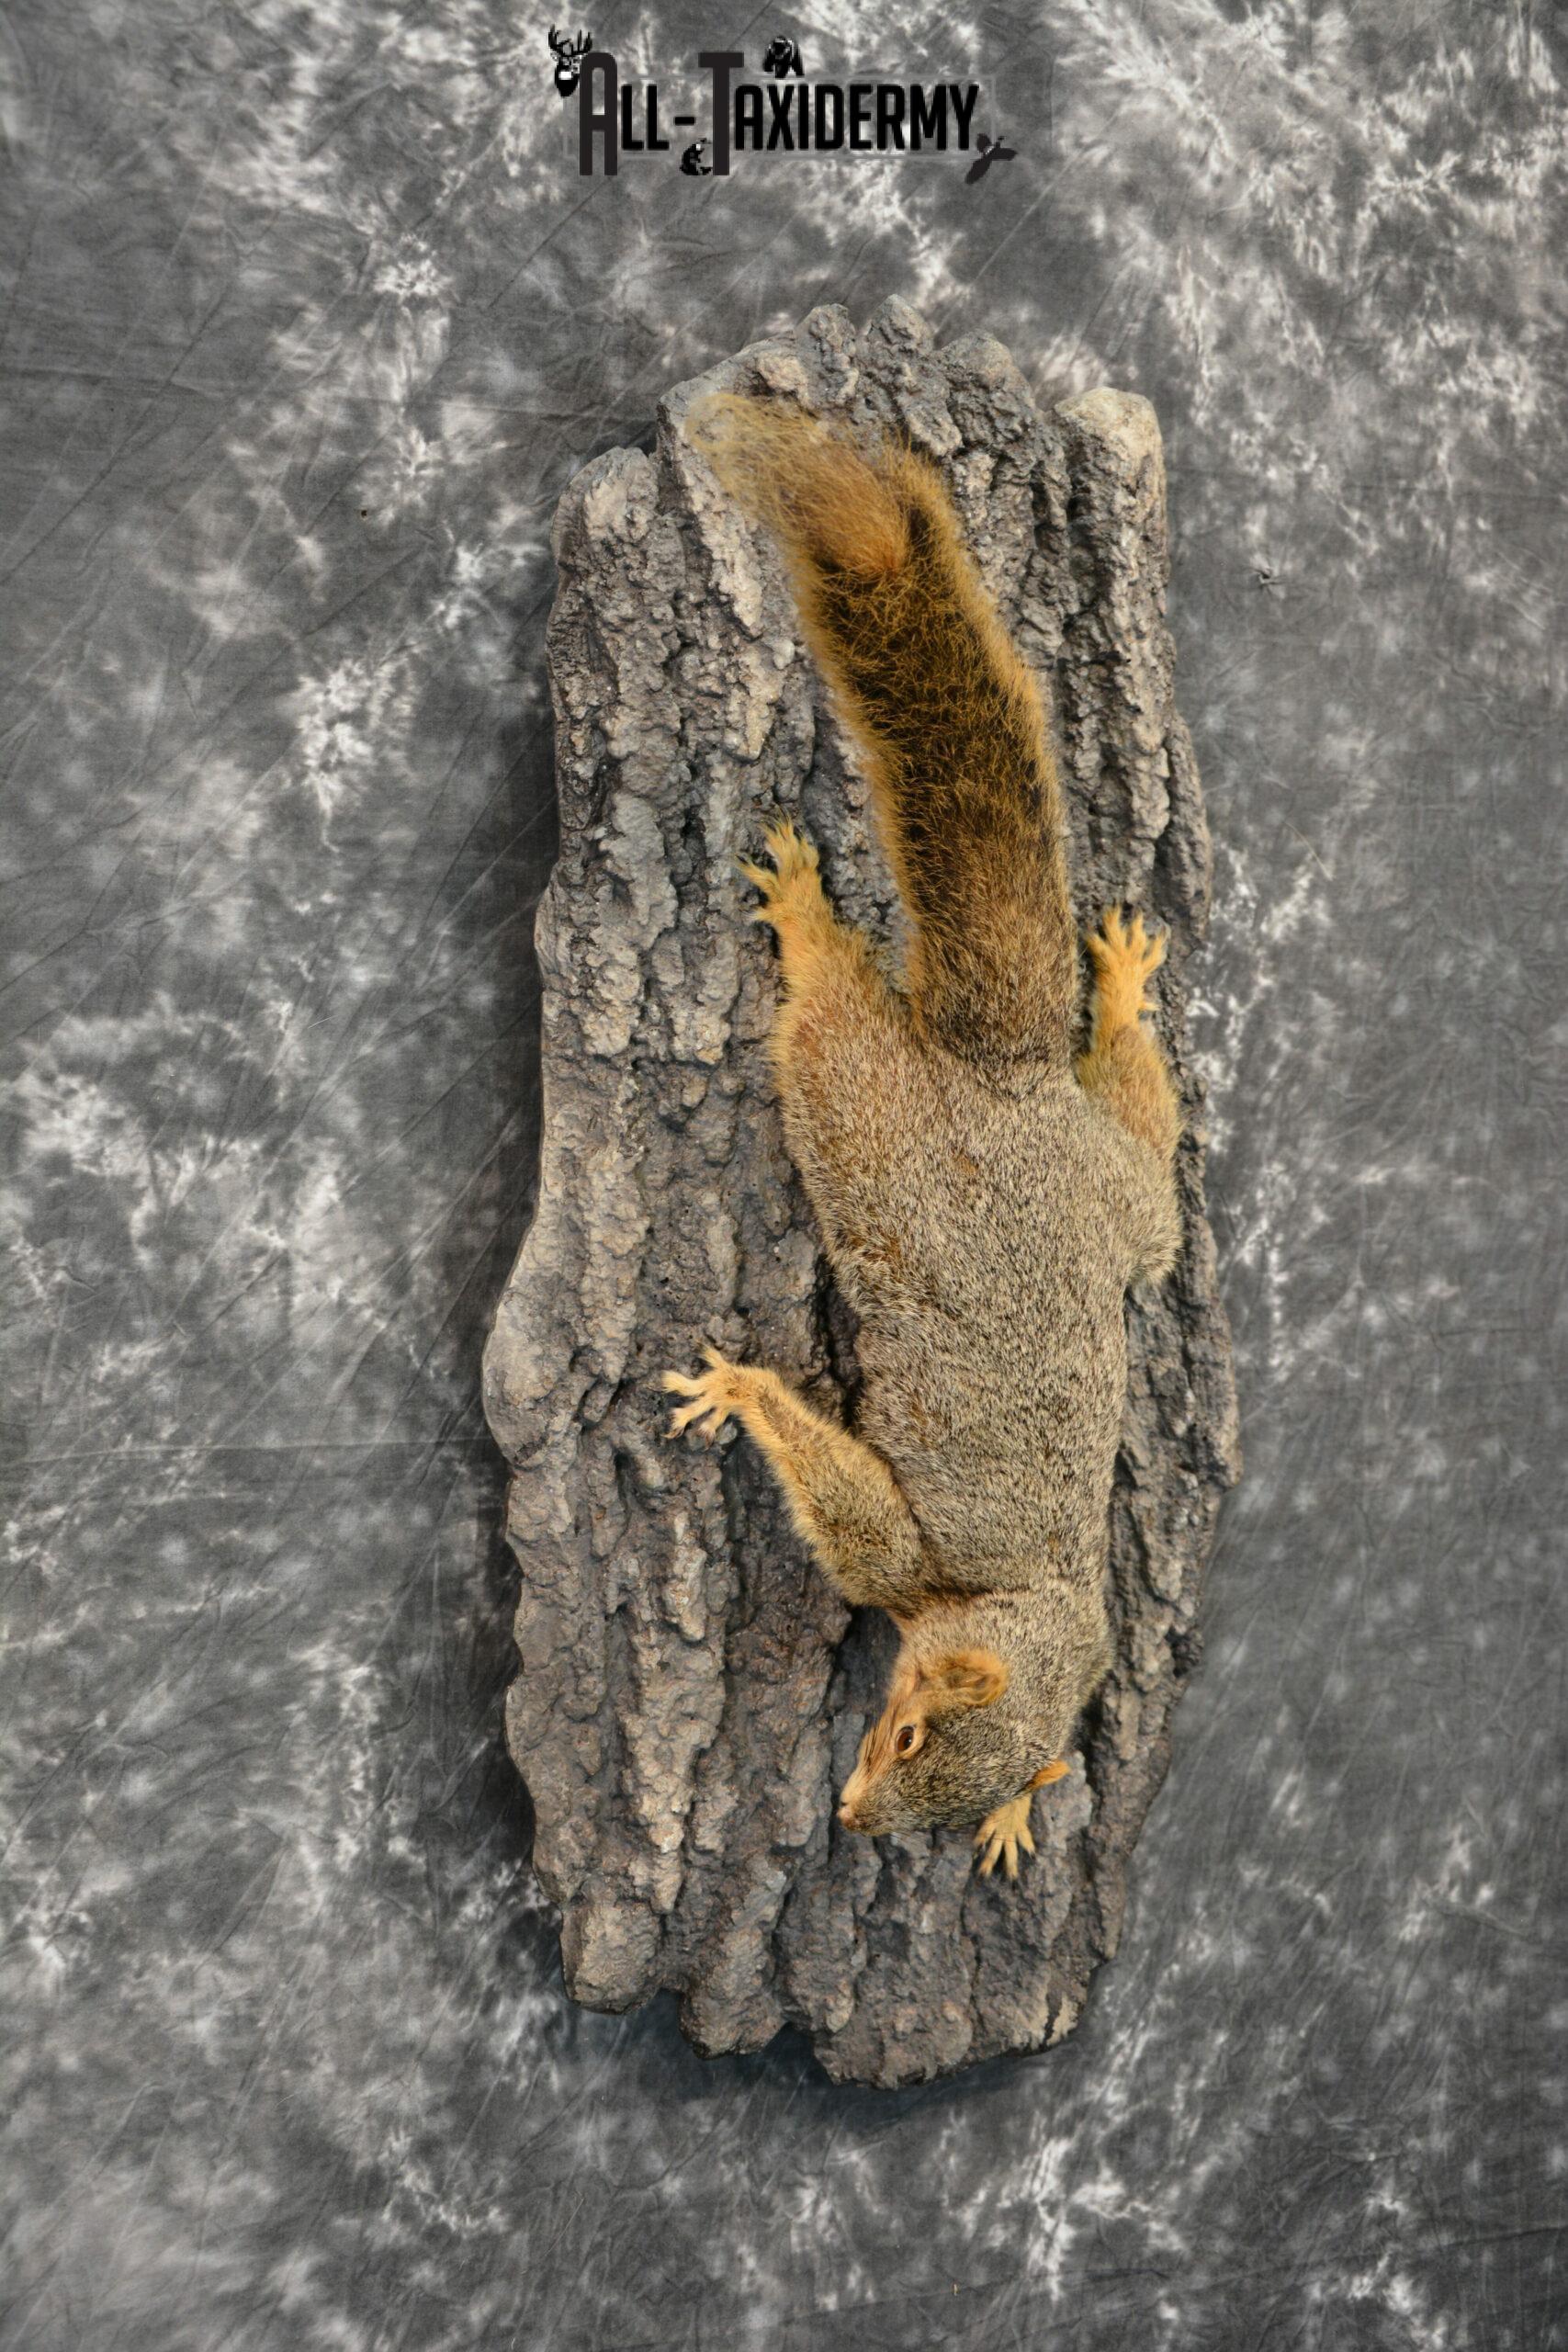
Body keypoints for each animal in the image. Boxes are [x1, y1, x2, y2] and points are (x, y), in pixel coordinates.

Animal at [662, 396, 1183, 1881]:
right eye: (898, 1734)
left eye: (933, 1779)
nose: (845, 1819)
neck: (1021, 1598)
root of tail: (1000, 1083)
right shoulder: (903, 1565)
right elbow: (847, 1509)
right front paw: (742, 1392)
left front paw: (1021, 1813)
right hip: (859, 1107)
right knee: (830, 1011)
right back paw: (807, 917)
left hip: (1115, 1206)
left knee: (1153, 1193)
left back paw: (1124, 987)